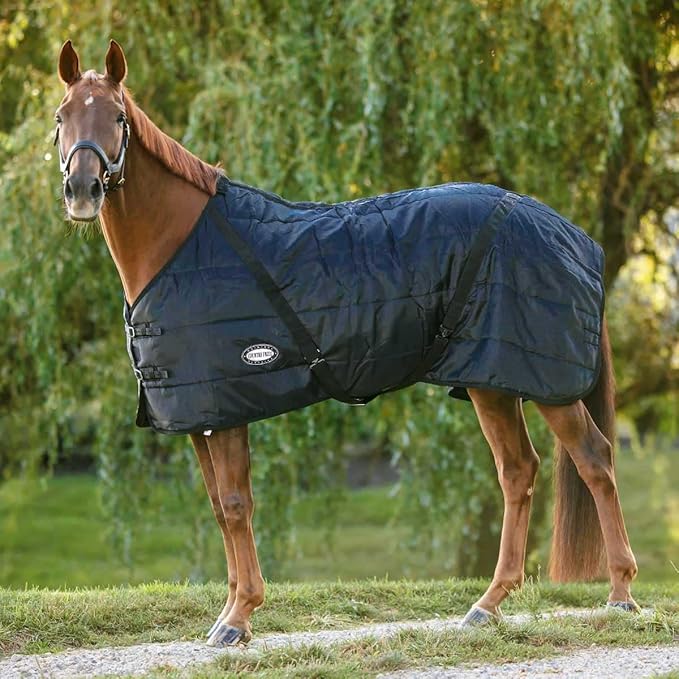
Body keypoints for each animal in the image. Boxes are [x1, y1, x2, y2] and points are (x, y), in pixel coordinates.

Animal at [54, 40, 639, 646]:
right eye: (61, 117)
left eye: (117, 118)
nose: (82, 191)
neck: (183, 244)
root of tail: (573, 237)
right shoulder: (198, 414)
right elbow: (218, 508)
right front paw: (229, 613)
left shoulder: (227, 407)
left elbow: (237, 505)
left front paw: (240, 618)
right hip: (492, 381)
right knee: (519, 471)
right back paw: (489, 604)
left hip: (541, 383)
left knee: (594, 459)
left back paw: (620, 594)